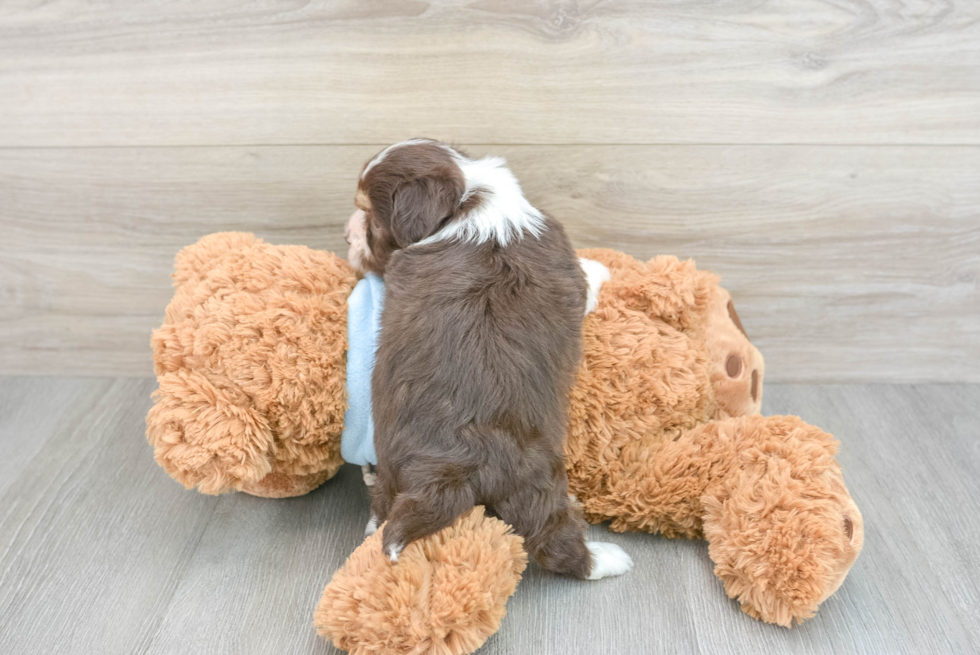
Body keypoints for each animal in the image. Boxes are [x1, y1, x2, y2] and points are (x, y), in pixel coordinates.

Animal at [348, 138, 632, 580]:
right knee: (555, 544)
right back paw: (608, 559)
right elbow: (588, 275)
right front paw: (602, 267)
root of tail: (454, 467)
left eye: (370, 218)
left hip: (395, 469)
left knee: (384, 508)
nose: (348, 234)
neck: (470, 200)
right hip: (537, 478)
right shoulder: (565, 261)